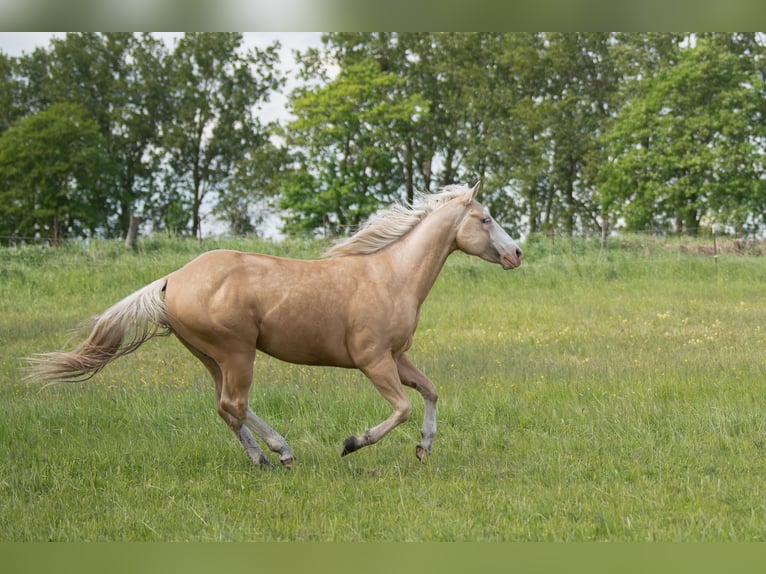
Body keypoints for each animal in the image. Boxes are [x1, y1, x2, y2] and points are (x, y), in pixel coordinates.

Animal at [27, 182, 522, 467]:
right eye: (485, 218)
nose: (516, 253)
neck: (391, 275)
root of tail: (171, 279)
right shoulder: (373, 360)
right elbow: (400, 408)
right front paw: (352, 442)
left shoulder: (397, 357)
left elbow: (431, 391)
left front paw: (424, 447)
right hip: (236, 352)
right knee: (235, 403)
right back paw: (283, 452)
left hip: (211, 357)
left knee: (224, 407)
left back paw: (261, 460)